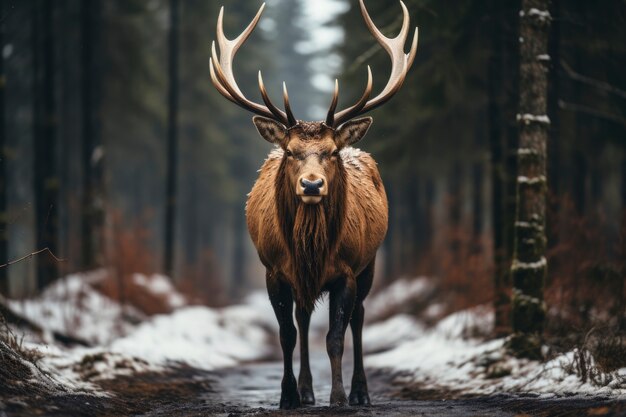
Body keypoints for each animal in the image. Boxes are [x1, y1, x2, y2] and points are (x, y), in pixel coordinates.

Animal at [210, 0, 420, 408]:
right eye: (291, 151)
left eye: (331, 151)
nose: (311, 184)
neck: (311, 249)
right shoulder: (274, 271)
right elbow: (287, 335)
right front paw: (289, 396)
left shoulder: (347, 271)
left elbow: (336, 337)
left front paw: (338, 396)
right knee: (304, 320)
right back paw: (307, 390)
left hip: (369, 263)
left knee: (359, 318)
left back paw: (360, 392)